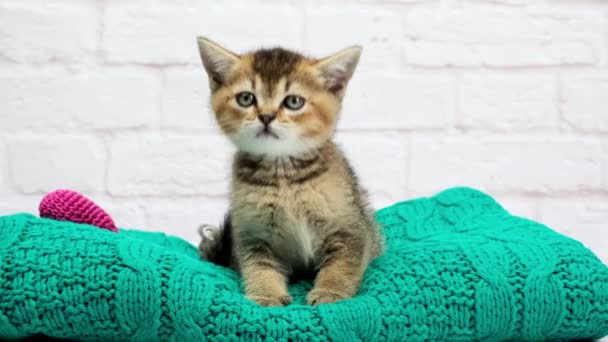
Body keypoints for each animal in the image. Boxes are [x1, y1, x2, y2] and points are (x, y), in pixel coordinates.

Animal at [197, 37, 382, 308]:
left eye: (294, 102)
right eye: (246, 98)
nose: (266, 116)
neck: (283, 175)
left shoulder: (349, 229)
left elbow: (341, 265)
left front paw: (330, 293)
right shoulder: (252, 236)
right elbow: (260, 268)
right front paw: (266, 295)